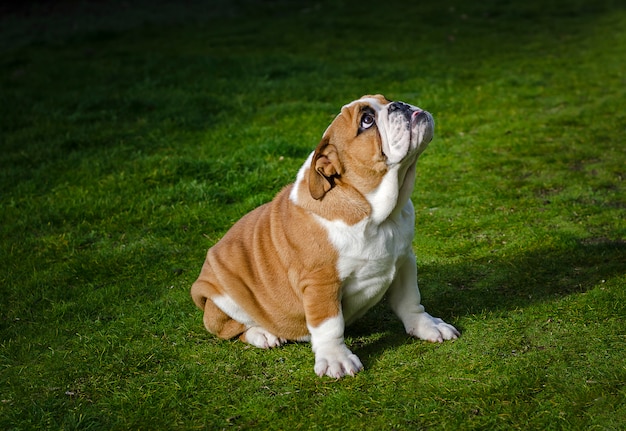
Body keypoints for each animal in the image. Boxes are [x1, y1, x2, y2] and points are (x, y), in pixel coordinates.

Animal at [190, 94, 458, 378]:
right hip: (225, 299)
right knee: (233, 328)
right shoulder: (321, 283)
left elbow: (410, 299)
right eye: (366, 120)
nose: (400, 105)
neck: (379, 214)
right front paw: (335, 358)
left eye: (386, 100)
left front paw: (427, 326)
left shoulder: (404, 258)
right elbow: (329, 324)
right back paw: (262, 334)